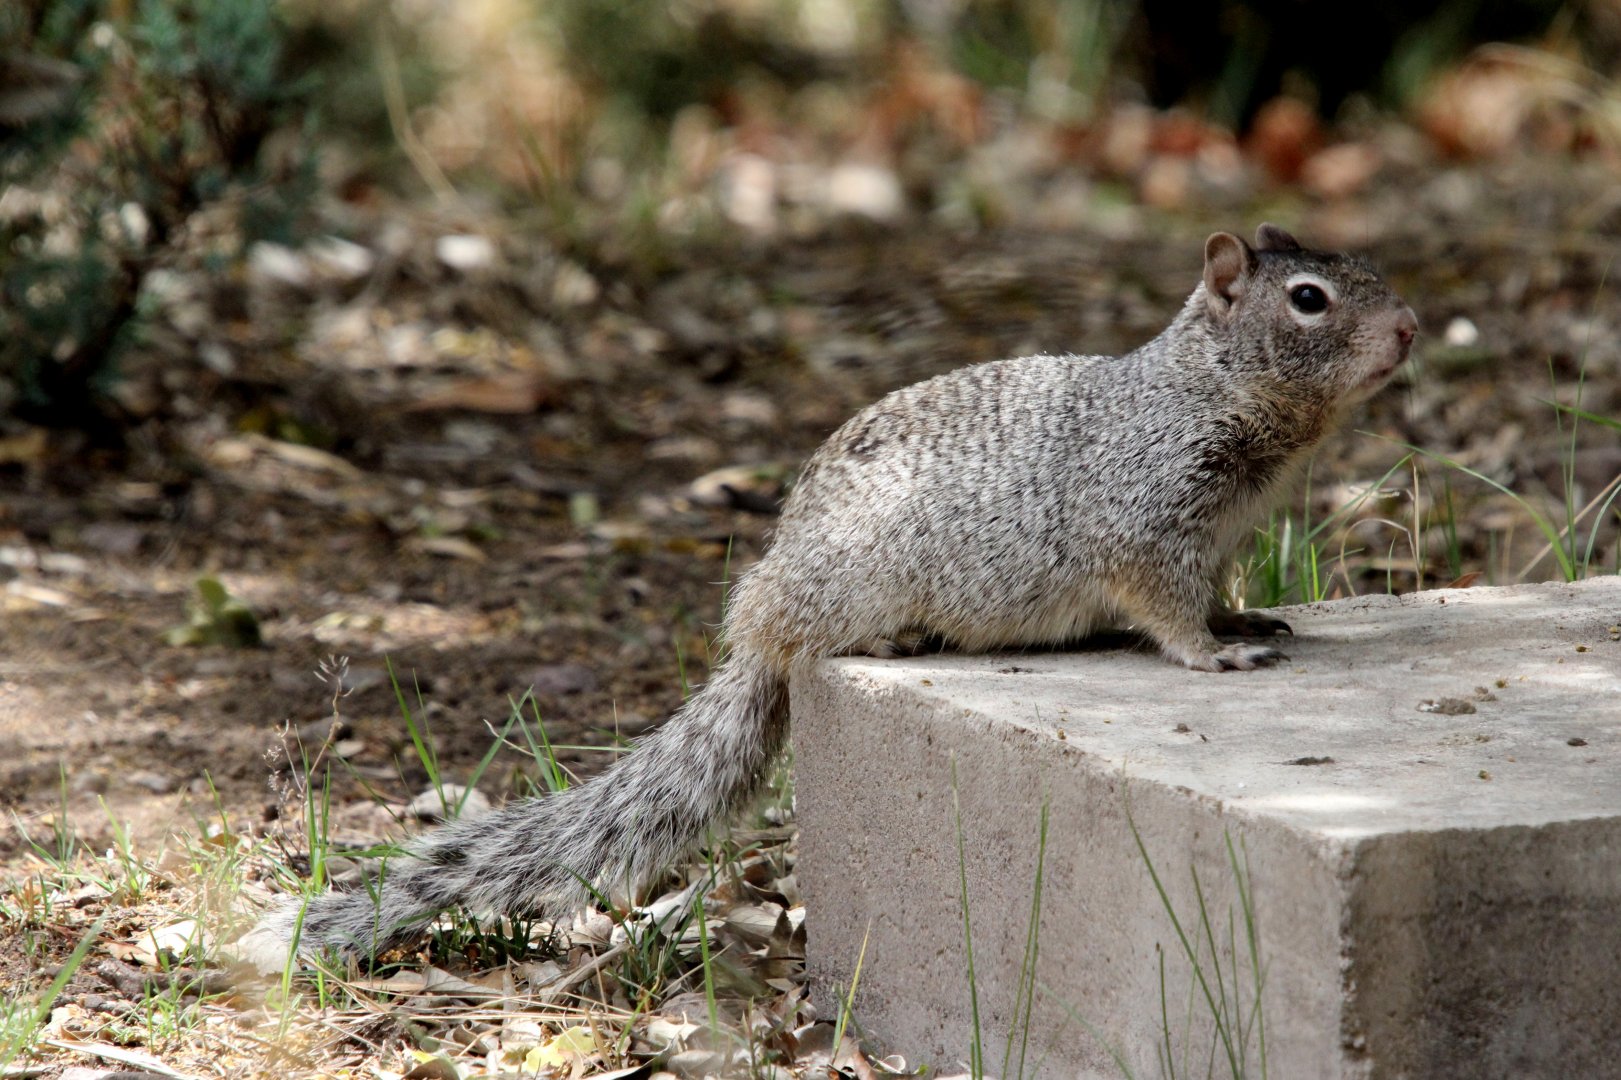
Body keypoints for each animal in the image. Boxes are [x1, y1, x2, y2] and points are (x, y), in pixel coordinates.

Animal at [246, 224, 1417, 961]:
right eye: (1307, 300)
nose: (1409, 329)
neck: (1211, 393)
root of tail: (751, 628)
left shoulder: (1217, 540)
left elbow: (1211, 590)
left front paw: (1242, 617)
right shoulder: (1146, 521)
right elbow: (1163, 610)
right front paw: (1214, 654)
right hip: (839, 590)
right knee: (809, 641)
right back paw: (889, 642)